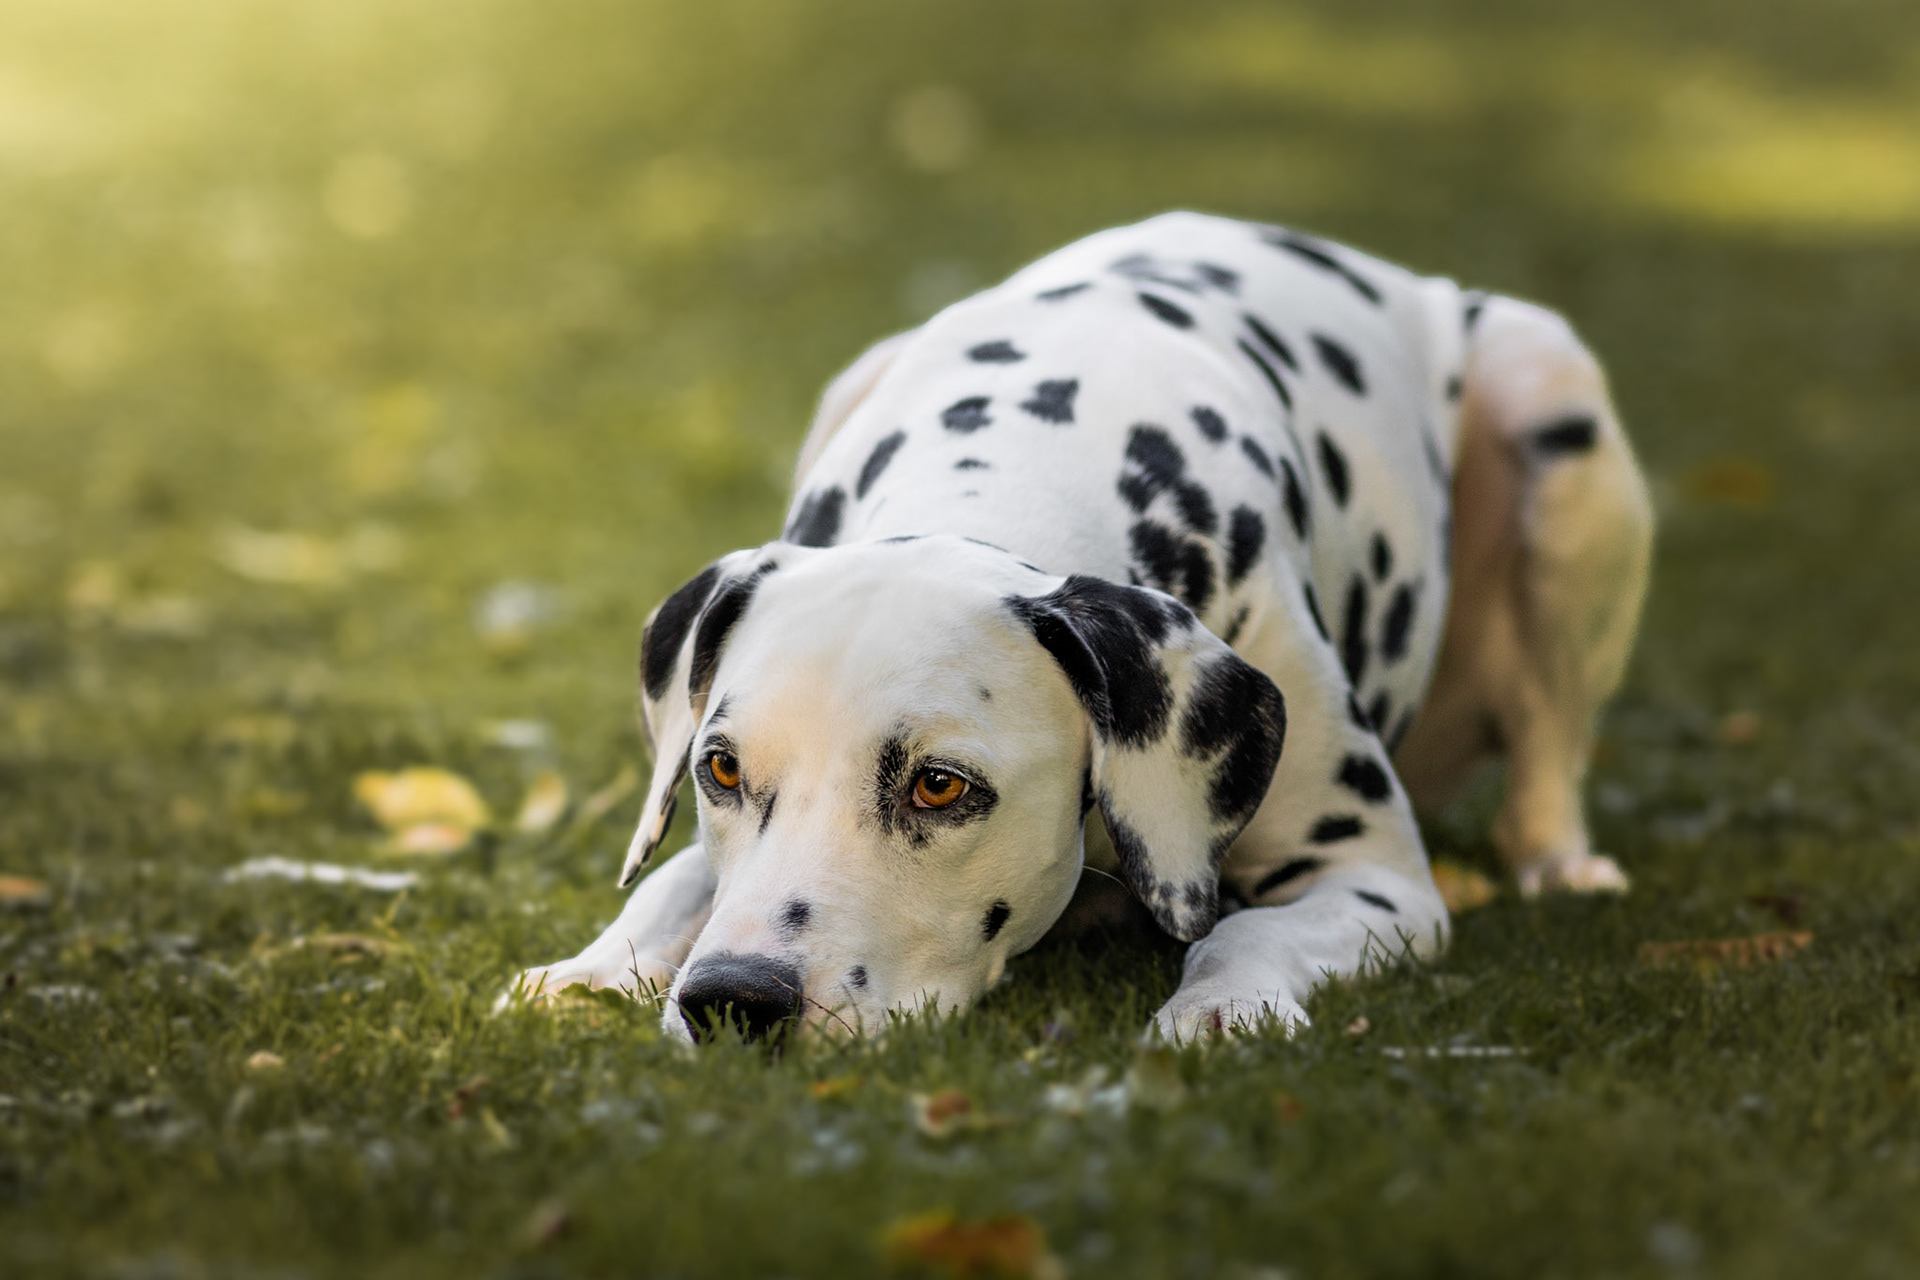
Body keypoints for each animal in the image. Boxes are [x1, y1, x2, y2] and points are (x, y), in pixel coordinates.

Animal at [505, 212, 1654, 1041]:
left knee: (1549, 746)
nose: (735, 1000)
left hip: (1552, 403)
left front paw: (1219, 1006)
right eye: (721, 771)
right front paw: (595, 963)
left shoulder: (1376, 879)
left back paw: (1564, 864)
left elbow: (1238, 937)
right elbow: (677, 878)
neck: (1032, 456)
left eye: (940, 785)